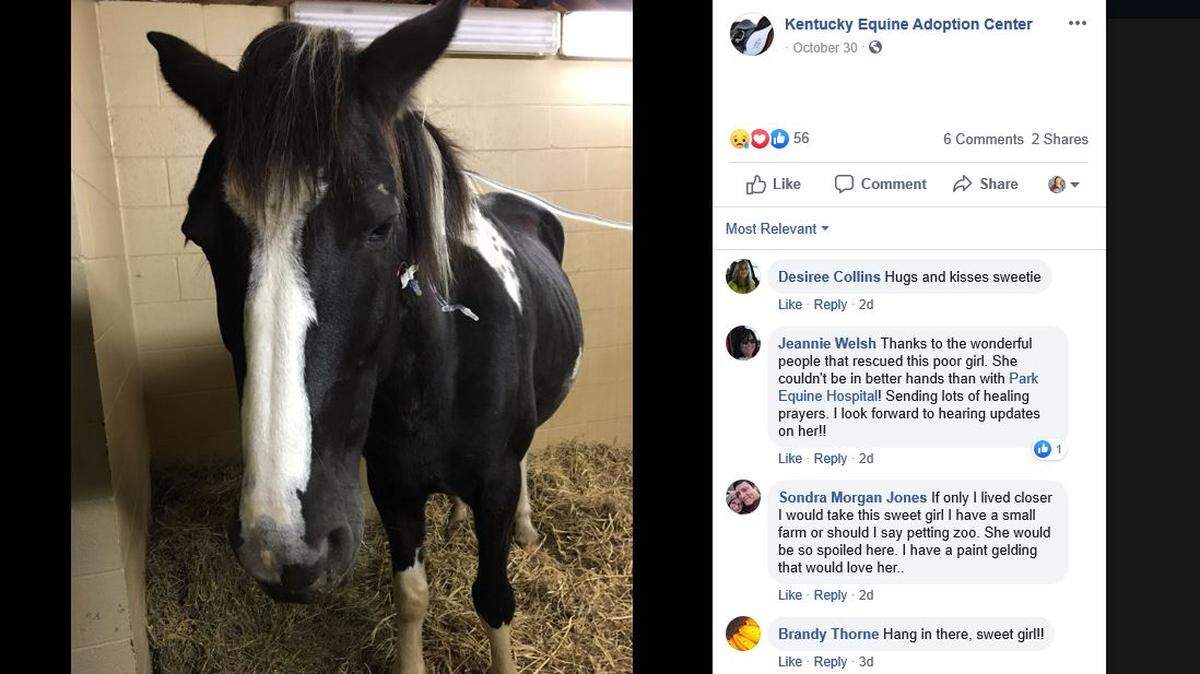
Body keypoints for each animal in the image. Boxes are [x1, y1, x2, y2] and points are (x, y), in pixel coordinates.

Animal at [147, 2, 583, 671]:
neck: (439, 376)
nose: (282, 545)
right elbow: (412, 594)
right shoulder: (392, 488)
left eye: (381, 225)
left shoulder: (496, 486)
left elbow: (493, 598)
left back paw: (528, 527)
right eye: (199, 233)